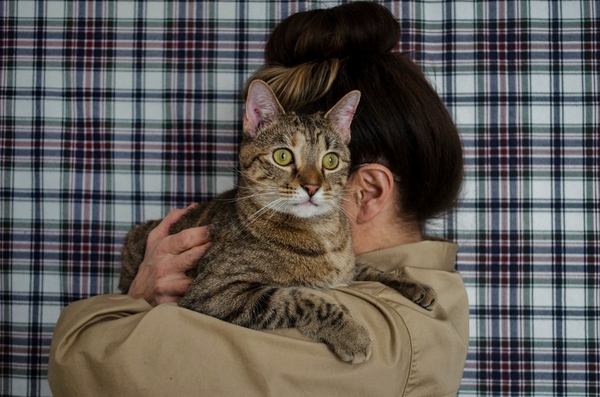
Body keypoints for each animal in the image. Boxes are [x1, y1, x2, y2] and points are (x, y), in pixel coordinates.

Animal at [118, 79, 436, 364]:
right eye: (283, 156)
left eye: (330, 160)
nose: (312, 187)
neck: (323, 233)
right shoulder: (213, 293)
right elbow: (302, 299)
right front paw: (351, 333)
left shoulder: (347, 267)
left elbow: (367, 267)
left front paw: (411, 283)